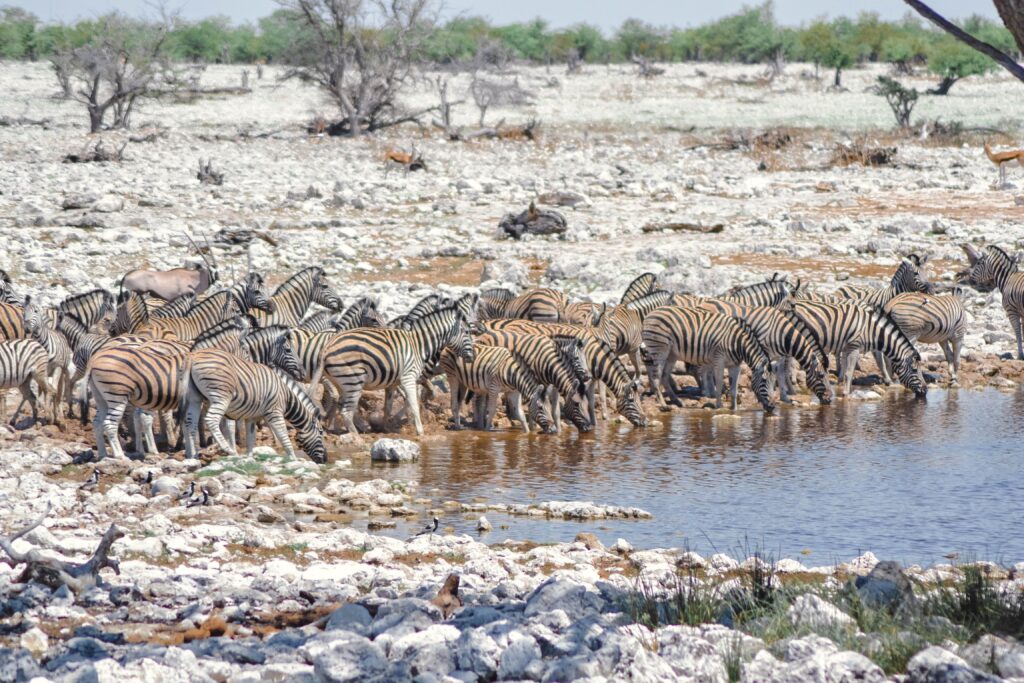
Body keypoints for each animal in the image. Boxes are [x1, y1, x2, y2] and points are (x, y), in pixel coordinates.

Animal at [183, 347, 325, 462]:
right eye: (321, 432)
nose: (325, 460)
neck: (286, 395)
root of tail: (194, 355)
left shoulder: (252, 417)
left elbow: (251, 440)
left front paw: (250, 458)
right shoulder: (275, 412)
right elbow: (284, 437)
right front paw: (293, 458)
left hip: (195, 399)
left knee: (190, 423)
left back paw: (193, 456)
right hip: (221, 396)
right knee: (211, 419)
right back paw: (229, 450)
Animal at [321, 307, 475, 435]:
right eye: (466, 332)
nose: (472, 357)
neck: (419, 345)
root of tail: (327, 347)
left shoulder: (393, 382)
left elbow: (389, 407)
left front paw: (386, 428)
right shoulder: (409, 377)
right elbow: (414, 403)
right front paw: (420, 431)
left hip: (342, 382)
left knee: (341, 405)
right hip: (353, 381)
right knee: (346, 412)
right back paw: (355, 435)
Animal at [641, 306, 776, 413]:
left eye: (775, 383)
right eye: (764, 381)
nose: (773, 406)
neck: (738, 344)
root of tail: (651, 313)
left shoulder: (735, 365)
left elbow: (734, 388)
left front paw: (734, 409)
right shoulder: (719, 360)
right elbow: (719, 384)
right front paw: (719, 406)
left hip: (671, 354)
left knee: (664, 375)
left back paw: (677, 401)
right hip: (659, 349)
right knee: (656, 377)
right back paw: (664, 405)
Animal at [691, 299, 833, 404]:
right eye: (821, 376)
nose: (830, 400)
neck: (782, 333)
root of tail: (703, 303)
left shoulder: (779, 355)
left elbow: (780, 373)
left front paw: (784, 397)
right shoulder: (765, 351)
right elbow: (767, 373)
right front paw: (764, 396)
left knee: (707, 367)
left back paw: (711, 392)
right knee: (704, 368)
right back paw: (708, 392)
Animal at [788, 300, 927, 397]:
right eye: (915, 370)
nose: (925, 391)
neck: (871, 330)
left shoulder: (846, 348)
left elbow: (844, 370)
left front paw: (841, 386)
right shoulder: (854, 347)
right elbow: (850, 372)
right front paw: (847, 394)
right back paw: (794, 385)